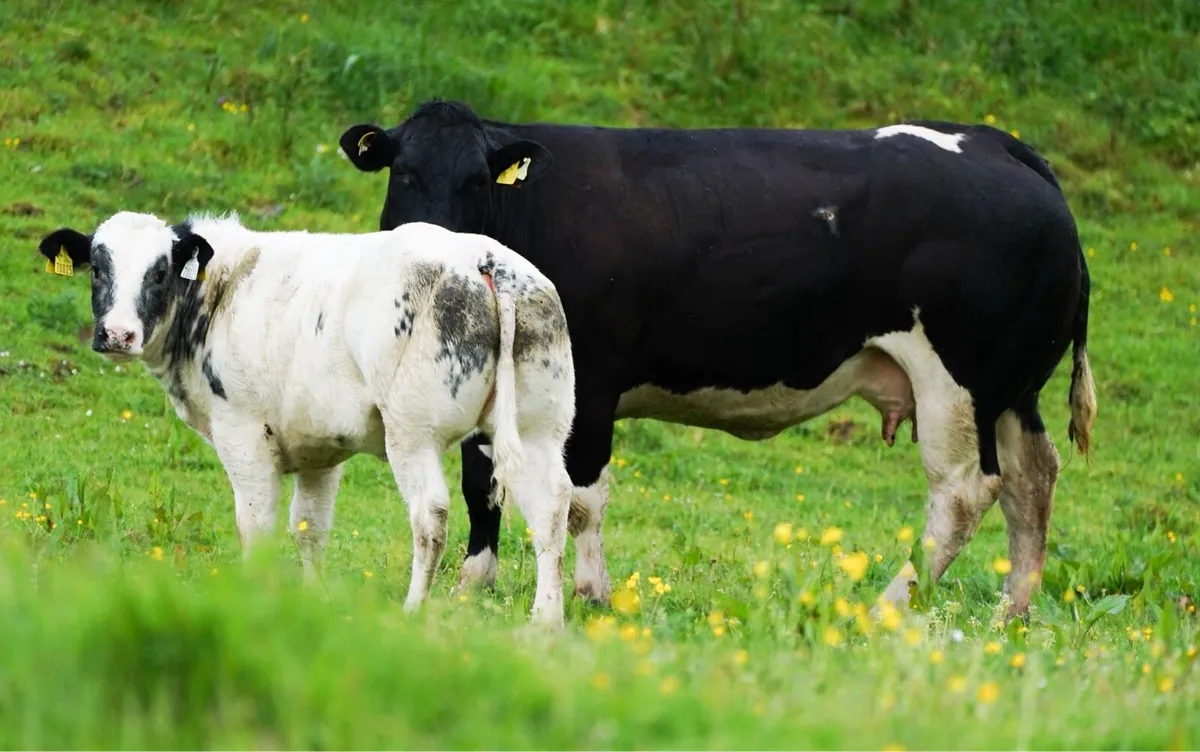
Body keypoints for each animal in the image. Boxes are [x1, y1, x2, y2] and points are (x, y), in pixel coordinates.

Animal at [37, 211, 577, 627]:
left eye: (159, 273)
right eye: (97, 269)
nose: (118, 334)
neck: (223, 290)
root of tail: (483, 259)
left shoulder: (242, 431)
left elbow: (255, 525)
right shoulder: (321, 447)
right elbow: (308, 527)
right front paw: (314, 599)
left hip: (412, 432)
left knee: (431, 516)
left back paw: (413, 610)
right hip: (538, 431)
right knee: (552, 510)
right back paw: (546, 622)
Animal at [338, 101, 1097, 619]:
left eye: (477, 180)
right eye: (404, 171)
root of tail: (999, 145)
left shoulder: (594, 380)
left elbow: (581, 498)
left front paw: (590, 592)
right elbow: (482, 480)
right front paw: (474, 585)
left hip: (958, 383)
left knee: (965, 492)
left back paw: (889, 604)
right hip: (1012, 388)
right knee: (1034, 480)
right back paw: (1011, 613)